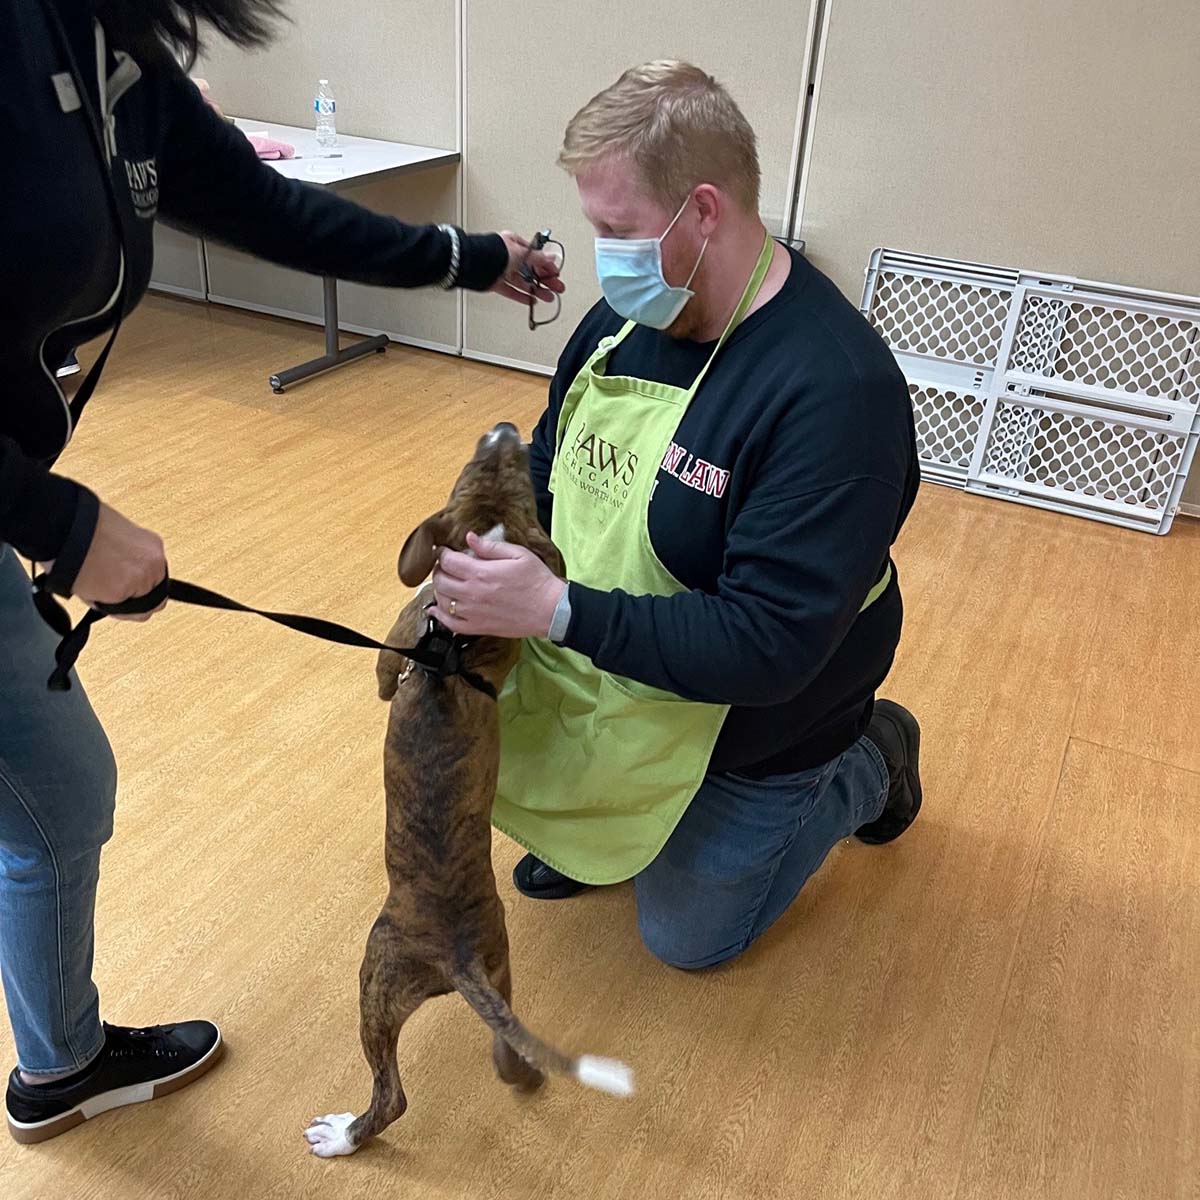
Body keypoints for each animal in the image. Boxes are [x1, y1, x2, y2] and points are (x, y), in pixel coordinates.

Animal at [304, 424, 633, 1161]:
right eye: (486, 471)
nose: (508, 428)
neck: (454, 641)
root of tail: (453, 955)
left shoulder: (393, 646)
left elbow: (382, 673)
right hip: (502, 971)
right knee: (510, 1061)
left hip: (375, 981)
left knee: (390, 1097)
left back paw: (342, 1136)